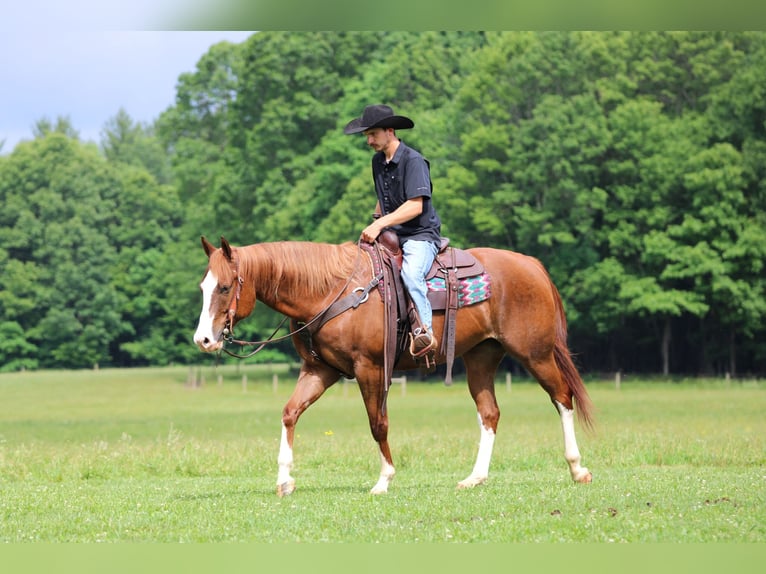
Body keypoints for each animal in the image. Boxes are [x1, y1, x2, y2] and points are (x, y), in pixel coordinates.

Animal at [193, 236, 594, 496]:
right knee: (490, 413)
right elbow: (290, 413)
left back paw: (577, 468)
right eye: (202, 287)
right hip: (481, 357)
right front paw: (284, 480)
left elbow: (378, 423)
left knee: (562, 397)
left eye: (225, 287)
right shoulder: (320, 370)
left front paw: (384, 479)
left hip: (535, 353)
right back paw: (475, 478)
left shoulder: (369, 368)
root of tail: (532, 264)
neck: (330, 291)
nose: (204, 339)